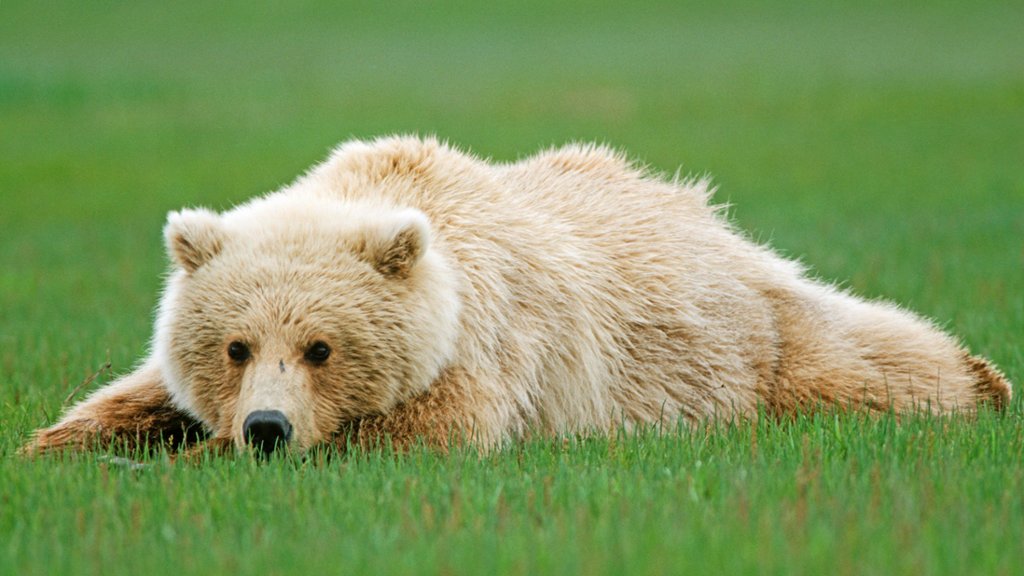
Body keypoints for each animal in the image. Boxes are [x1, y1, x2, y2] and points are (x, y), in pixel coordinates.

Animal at [23, 135, 1013, 456]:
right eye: (233, 346)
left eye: (321, 347)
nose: (267, 428)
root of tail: (704, 213)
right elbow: (124, 399)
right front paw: (61, 450)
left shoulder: (488, 344)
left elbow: (433, 431)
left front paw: (201, 458)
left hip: (749, 338)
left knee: (863, 361)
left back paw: (983, 382)